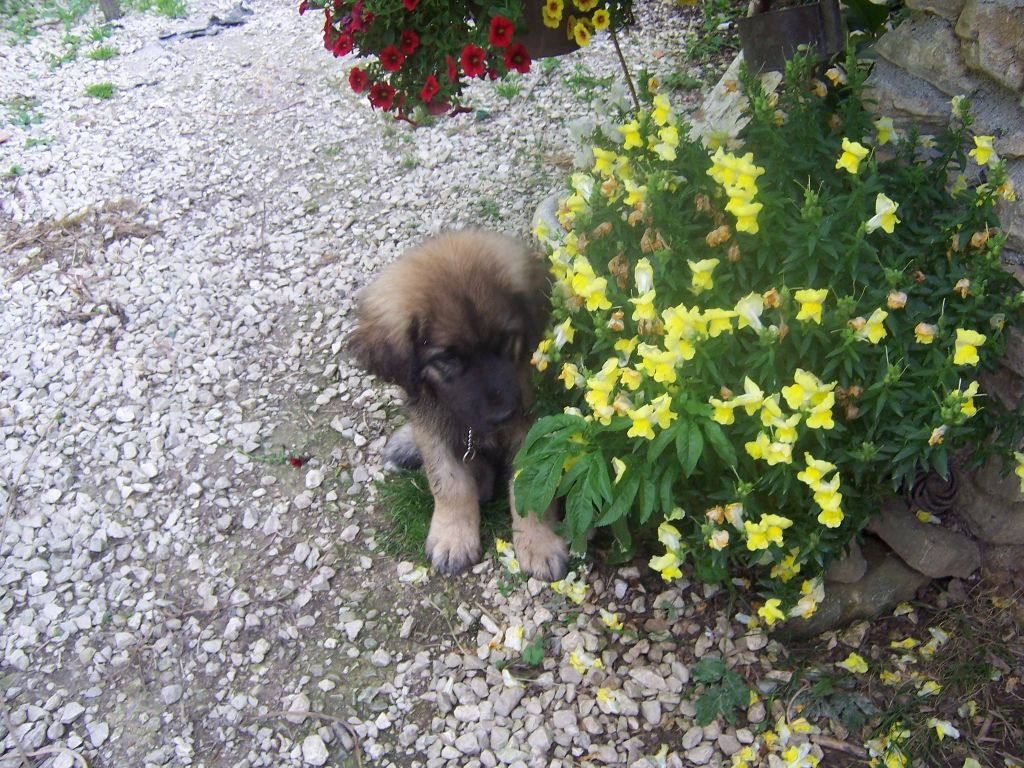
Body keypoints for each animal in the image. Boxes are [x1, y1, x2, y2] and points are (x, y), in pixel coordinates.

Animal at [348, 231, 565, 581]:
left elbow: (529, 487)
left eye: (506, 340)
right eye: (447, 358)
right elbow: (449, 484)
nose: (504, 413)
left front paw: (540, 542)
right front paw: (453, 537)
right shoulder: (433, 426)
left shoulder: (532, 427)